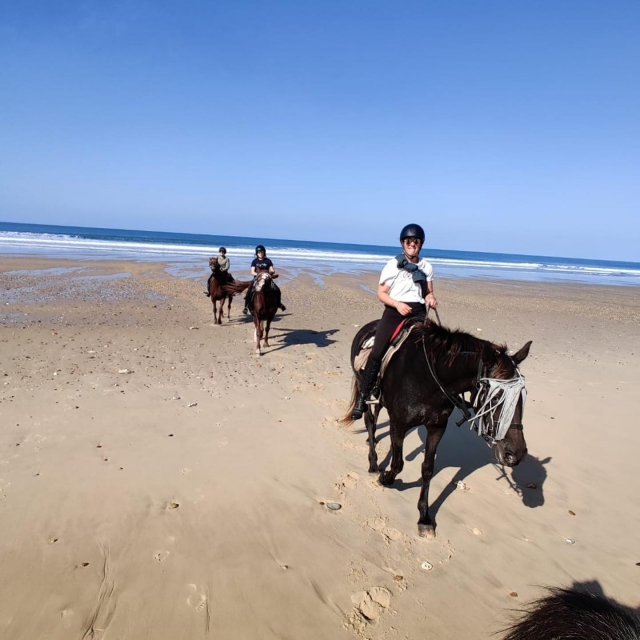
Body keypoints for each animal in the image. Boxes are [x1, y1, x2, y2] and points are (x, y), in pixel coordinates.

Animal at [342, 318, 532, 538]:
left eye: (522, 396)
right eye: (495, 398)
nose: (516, 454)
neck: (427, 378)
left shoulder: (437, 427)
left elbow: (427, 468)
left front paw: (424, 518)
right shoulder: (398, 422)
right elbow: (397, 464)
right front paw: (385, 478)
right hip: (366, 390)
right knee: (370, 422)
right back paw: (373, 464)